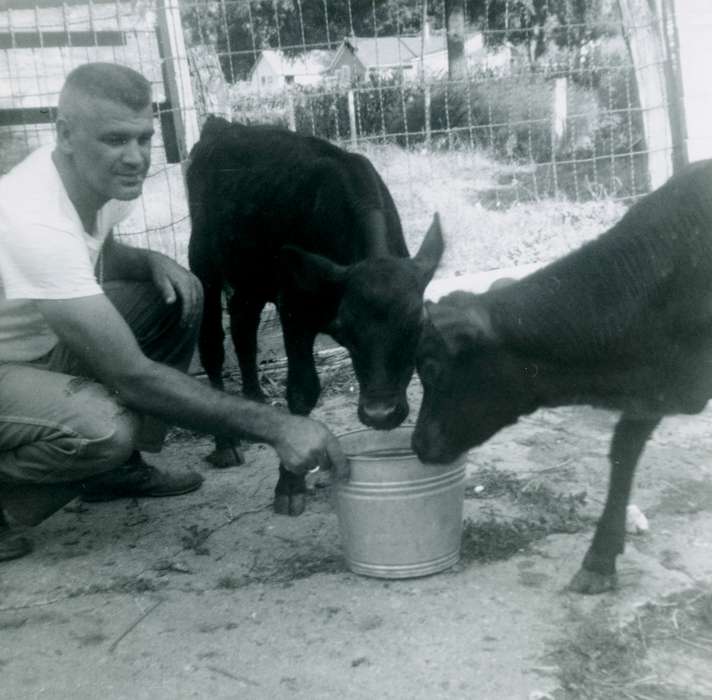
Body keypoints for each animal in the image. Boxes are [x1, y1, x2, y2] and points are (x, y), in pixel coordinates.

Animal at [191, 116, 444, 516]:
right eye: (345, 330)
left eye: (416, 327)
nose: (379, 415)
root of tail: (221, 126)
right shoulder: (295, 310)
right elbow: (302, 393)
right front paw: (289, 486)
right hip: (203, 260)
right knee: (213, 344)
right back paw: (225, 443)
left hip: (251, 277)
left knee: (244, 328)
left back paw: (255, 400)